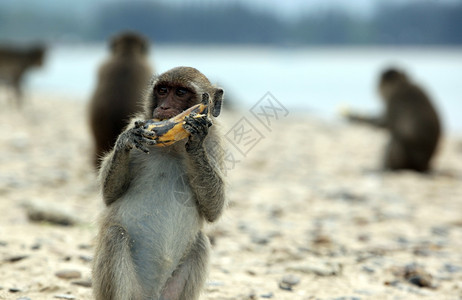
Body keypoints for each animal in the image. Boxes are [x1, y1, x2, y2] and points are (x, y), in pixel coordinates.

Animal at [91, 66, 226, 300]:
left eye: (180, 92)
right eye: (162, 90)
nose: (163, 107)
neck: (173, 146)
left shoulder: (214, 142)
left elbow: (213, 210)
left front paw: (196, 138)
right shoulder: (139, 122)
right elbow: (110, 195)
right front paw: (127, 139)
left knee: (201, 243)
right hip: (129, 291)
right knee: (115, 235)